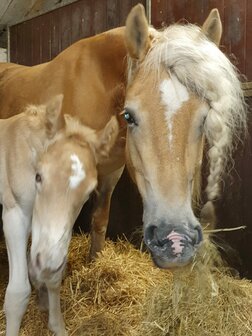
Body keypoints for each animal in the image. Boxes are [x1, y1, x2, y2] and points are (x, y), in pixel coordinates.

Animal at [1, 95, 119, 336]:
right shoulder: (14, 215)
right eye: (38, 176)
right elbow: (17, 294)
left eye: (89, 193)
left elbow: (55, 276)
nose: (46, 263)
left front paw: (57, 325)